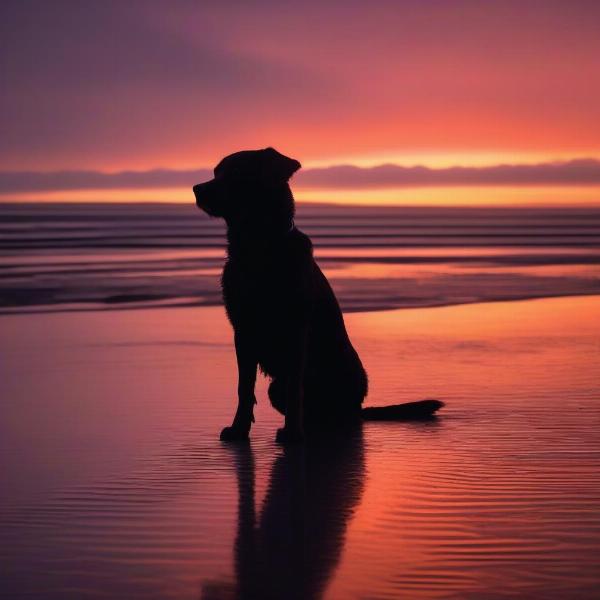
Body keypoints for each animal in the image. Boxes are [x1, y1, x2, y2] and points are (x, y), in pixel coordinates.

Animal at [195, 148, 442, 442]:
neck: (259, 246)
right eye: (216, 172)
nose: (196, 189)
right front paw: (239, 428)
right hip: (275, 388)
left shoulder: (295, 328)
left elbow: (295, 387)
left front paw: (292, 433)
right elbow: (244, 387)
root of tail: (359, 407)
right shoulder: (243, 330)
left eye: (235, 172)